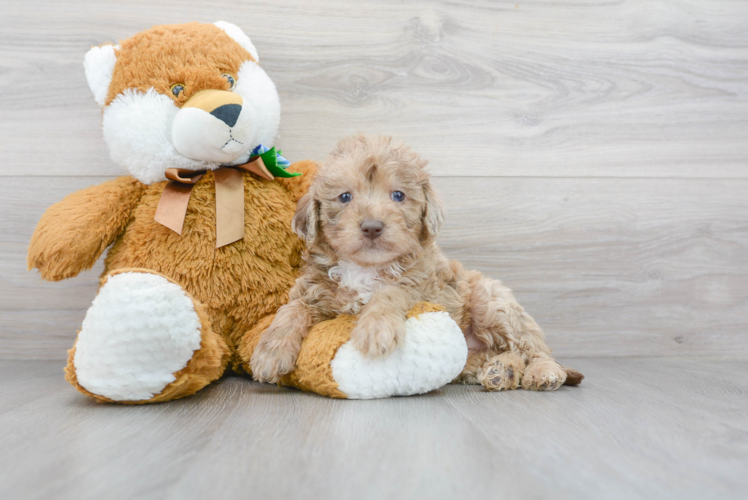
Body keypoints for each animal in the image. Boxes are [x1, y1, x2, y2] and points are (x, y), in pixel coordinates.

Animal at [251, 136, 584, 390]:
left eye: (398, 195)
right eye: (344, 197)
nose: (372, 227)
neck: (365, 268)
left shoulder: (424, 286)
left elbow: (391, 292)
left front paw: (375, 329)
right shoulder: (314, 290)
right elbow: (292, 309)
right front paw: (269, 353)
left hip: (491, 300)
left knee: (531, 348)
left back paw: (542, 371)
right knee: (496, 357)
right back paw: (502, 371)